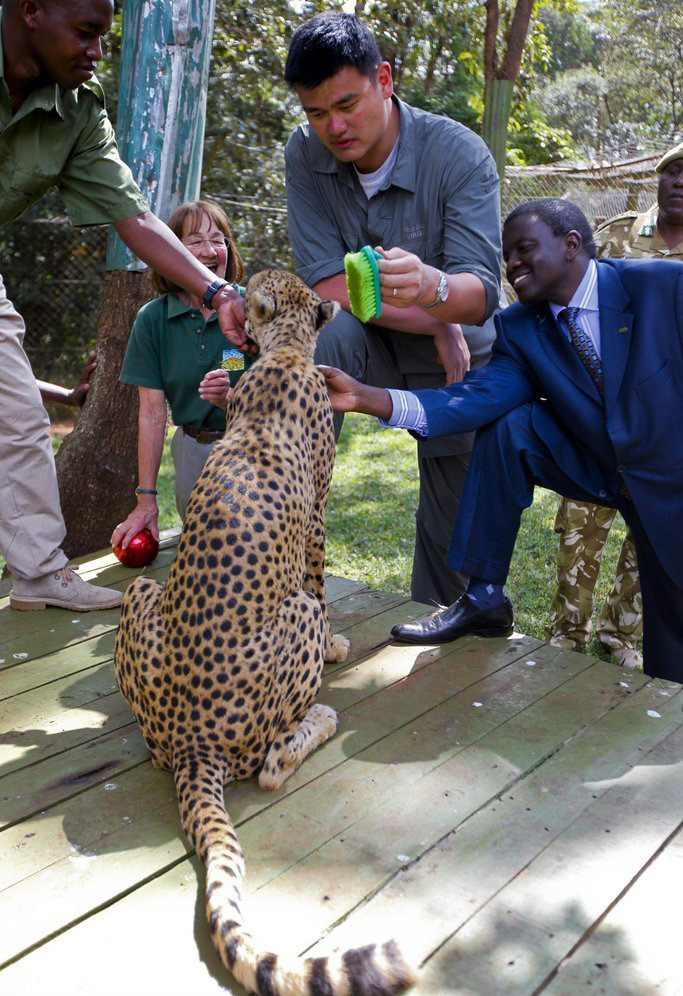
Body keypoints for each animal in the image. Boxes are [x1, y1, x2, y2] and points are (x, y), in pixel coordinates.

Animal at [114, 270, 414, 996]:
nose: (228, 288)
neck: (285, 353)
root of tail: (192, 742)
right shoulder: (317, 518)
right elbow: (320, 583)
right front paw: (337, 649)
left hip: (141, 595)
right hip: (286, 631)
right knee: (274, 764)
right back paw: (322, 717)